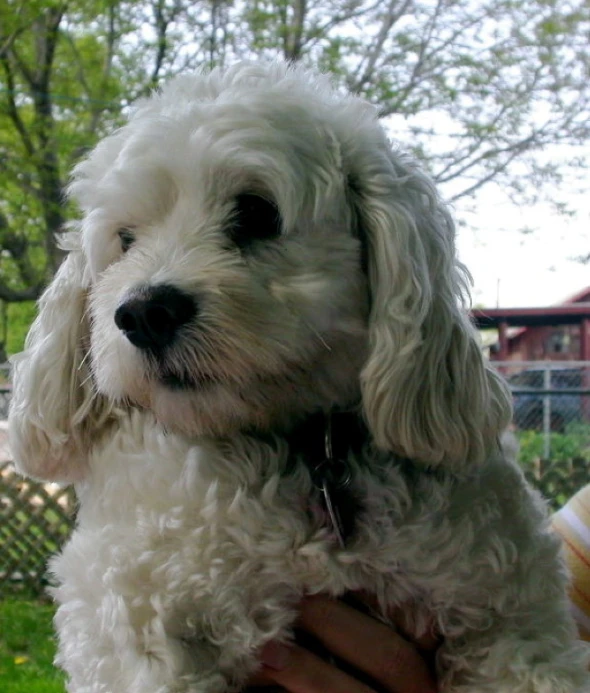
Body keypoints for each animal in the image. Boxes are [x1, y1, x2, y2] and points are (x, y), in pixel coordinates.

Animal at [8, 62, 590, 688]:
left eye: (257, 213)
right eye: (125, 240)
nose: (143, 313)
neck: (307, 456)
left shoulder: (509, 613)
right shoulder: (130, 619)